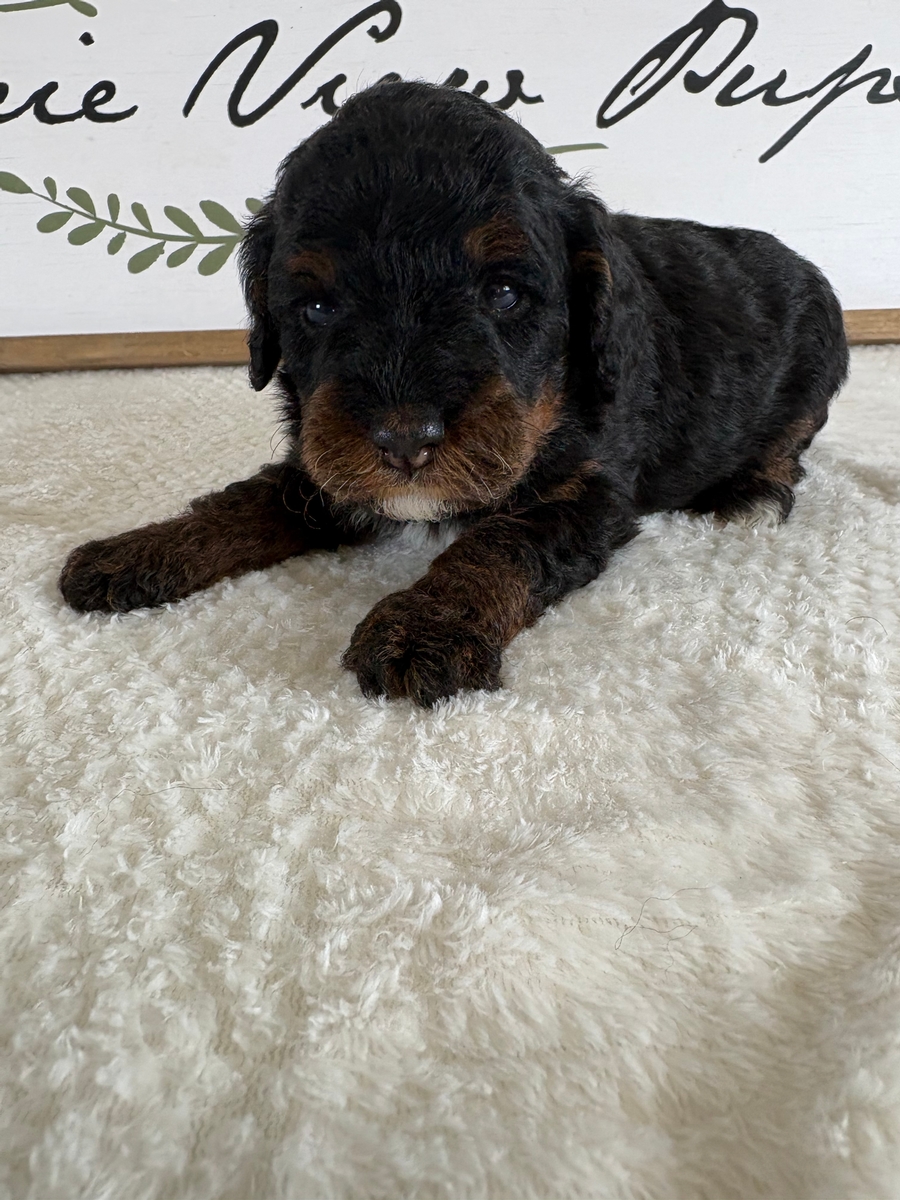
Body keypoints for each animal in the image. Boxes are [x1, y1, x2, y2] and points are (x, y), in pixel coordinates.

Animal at [59, 80, 849, 707]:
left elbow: (503, 543)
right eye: (315, 307)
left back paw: (752, 494)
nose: (405, 441)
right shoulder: (326, 458)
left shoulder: (589, 489)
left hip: (816, 368)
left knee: (788, 445)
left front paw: (426, 628)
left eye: (503, 293)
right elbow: (248, 499)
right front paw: (138, 552)